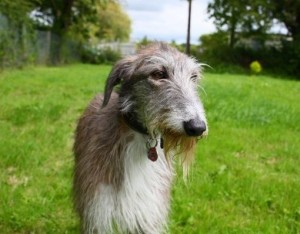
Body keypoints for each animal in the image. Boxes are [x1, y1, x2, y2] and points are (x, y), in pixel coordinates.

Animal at [74, 43, 207, 233]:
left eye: (194, 77)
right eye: (158, 74)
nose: (197, 127)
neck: (140, 138)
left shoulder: (148, 211)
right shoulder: (97, 209)